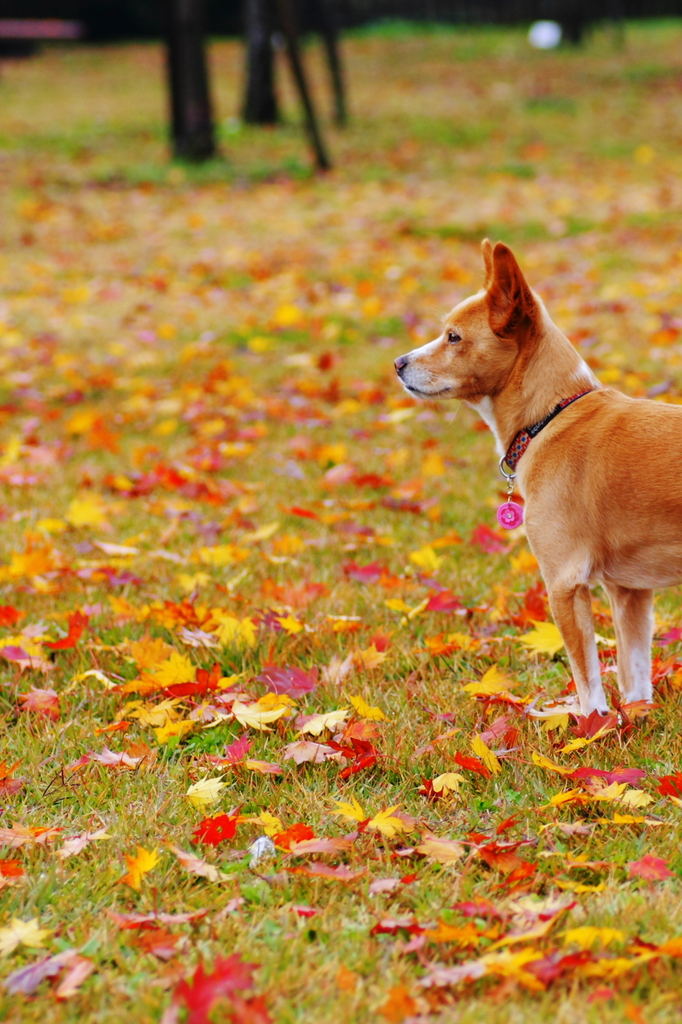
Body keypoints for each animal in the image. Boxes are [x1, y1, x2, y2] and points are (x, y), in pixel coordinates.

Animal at [393, 239, 679, 716]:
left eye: (454, 337)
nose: (397, 362)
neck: (552, 417)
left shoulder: (564, 584)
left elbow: (588, 683)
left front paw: (591, 728)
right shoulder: (630, 592)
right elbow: (635, 678)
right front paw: (635, 719)